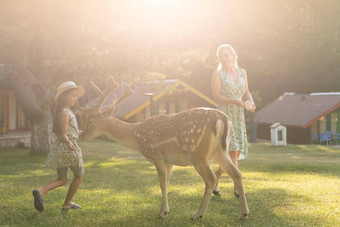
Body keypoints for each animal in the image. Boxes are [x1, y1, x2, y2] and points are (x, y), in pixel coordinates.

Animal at [77, 76, 248, 220]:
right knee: (237, 173)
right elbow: (167, 182)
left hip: (198, 153)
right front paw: (166, 210)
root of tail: (223, 119)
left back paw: (198, 214)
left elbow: (161, 183)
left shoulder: (157, 155)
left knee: (211, 178)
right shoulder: (169, 160)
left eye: (91, 121)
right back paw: (244, 214)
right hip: (219, 151)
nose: (81, 135)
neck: (138, 136)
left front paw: (162, 212)